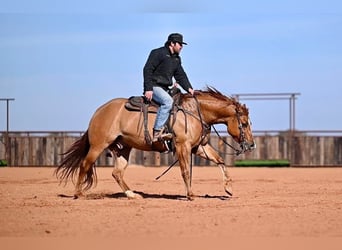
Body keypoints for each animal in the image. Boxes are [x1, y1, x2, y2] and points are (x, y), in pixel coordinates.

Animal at [55, 87, 254, 200]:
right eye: (244, 123)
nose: (251, 145)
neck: (193, 112)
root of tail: (98, 111)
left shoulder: (199, 147)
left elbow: (220, 160)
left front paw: (228, 188)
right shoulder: (182, 146)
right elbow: (185, 171)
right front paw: (190, 195)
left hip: (124, 148)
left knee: (117, 173)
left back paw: (132, 194)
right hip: (98, 145)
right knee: (85, 164)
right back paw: (78, 194)